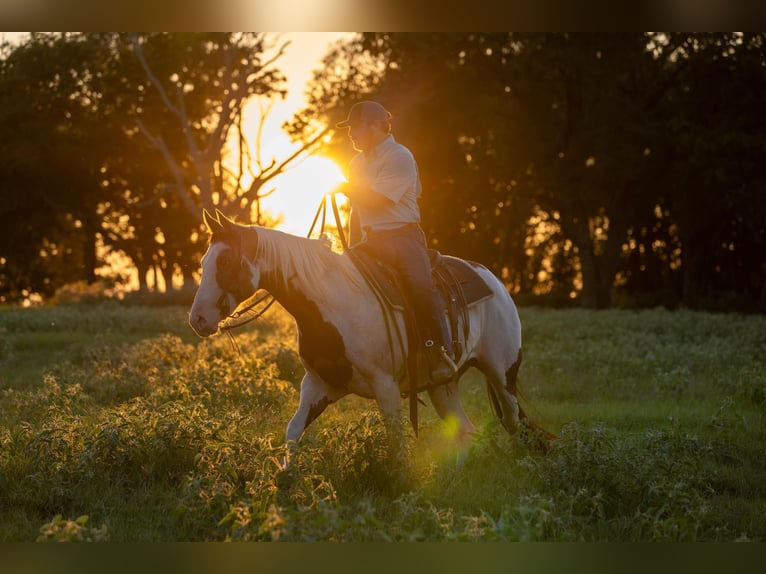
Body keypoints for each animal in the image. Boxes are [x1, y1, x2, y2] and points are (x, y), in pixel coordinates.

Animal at [189, 209, 531, 463]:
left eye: (225, 261)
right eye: (204, 261)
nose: (198, 319)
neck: (331, 301)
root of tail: (494, 281)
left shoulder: (386, 387)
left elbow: (398, 449)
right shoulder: (319, 384)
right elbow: (292, 433)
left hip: (502, 373)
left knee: (515, 421)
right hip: (443, 386)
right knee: (464, 431)